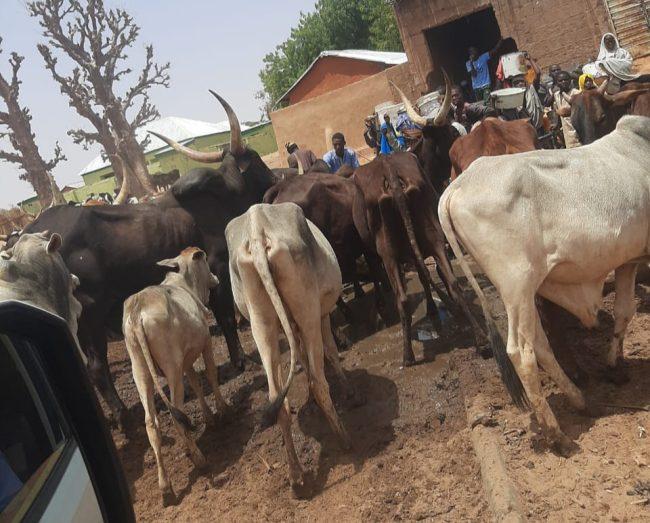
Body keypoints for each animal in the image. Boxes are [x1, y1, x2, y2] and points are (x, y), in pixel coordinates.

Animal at [10, 93, 274, 426]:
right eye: (256, 158)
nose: (277, 176)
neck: (222, 195)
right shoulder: (216, 272)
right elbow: (226, 317)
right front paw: (241, 361)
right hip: (89, 315)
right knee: (97, 368)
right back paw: (123, 415)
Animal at [123, 248, 227, 502]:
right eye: (205, 261)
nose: (216, 278)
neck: (184, 284)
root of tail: (138, 310)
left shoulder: (186, 361)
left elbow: (196, 383)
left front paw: (209, 416)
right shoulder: (205, 343)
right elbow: (210, 374)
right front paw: (222, 410)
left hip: (141, 371)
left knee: (152, 423)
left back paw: (165, 486)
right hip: (171, 370)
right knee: (176, 415)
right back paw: (199, 458)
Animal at [227, 203, 352, 494]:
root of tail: (257, 230)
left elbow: (303, 358)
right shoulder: (322, 315)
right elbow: (329, 351)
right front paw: (348, 390)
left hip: (261, 322)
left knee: (277, 397)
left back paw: (296, 476)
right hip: (307, 310)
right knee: (319, 382)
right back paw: (344, 439)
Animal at [350, 151, 486, 366]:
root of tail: (390, 171)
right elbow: (425, 277)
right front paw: (432, 308)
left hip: (388, 254)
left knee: (403, 298)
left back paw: (408, 357)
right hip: (434, 236)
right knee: (453, 283)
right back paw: (481, 339)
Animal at [436, 115, 648, 454]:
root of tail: (454, 187)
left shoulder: (629, 260)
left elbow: (624, 312)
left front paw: (615, 367)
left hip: (523, 291)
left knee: (540, 344)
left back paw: (579, 400)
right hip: (517, 284)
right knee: (521, 352)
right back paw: (556, 433)